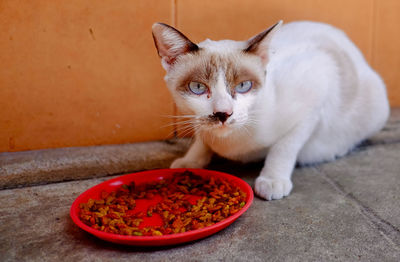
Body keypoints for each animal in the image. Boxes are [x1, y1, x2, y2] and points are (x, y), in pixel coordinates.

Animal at [152, 21, 390, 201]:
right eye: (198, 88)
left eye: (243, 86)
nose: (223, 113)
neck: (231, 143)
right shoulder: (199, 124)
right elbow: (201, 141)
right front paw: (190, 162)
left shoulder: (313, 101)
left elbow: (284, 147)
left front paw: (272, 181)